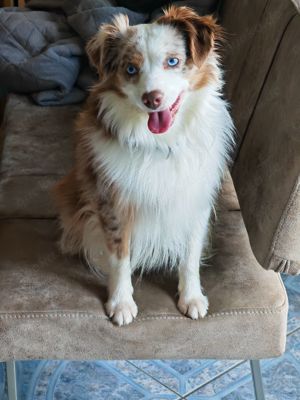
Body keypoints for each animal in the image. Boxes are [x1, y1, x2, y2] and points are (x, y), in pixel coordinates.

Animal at [55, 6, 236, 324]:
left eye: (172, 61)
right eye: (130, 69)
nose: (153, 99)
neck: (163, 144)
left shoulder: (196, 201)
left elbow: (190, 255)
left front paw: (191, 297)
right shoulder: (113, 202)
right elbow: (120, 256)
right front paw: (121, 303)